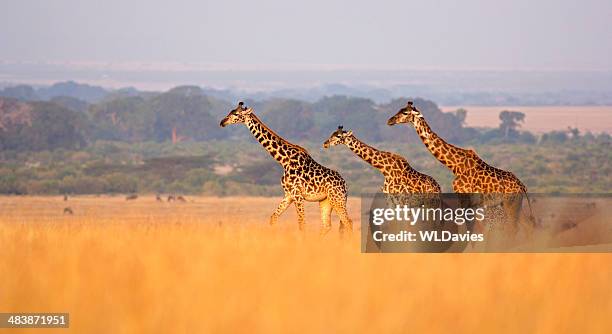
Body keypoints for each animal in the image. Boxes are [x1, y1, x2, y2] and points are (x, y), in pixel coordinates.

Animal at [221, 100, 354, 234]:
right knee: (327, 225)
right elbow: (273, 217)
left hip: (337, 199)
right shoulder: (288, 195)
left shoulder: (297, 194)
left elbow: (301, 223)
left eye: (236, 114)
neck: (284, 161)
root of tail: (345, 184)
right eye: (230, 111)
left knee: (348, 222)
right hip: (325, 201)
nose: (222, 122)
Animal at [388, 101, 536, 235]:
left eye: (405, 112)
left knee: (514, 228)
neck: (455, 165)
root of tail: (522, 186)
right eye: (400, 109)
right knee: (526, 226)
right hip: (514, 204)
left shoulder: (465, 197)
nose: (390, 120)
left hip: (510, 203)